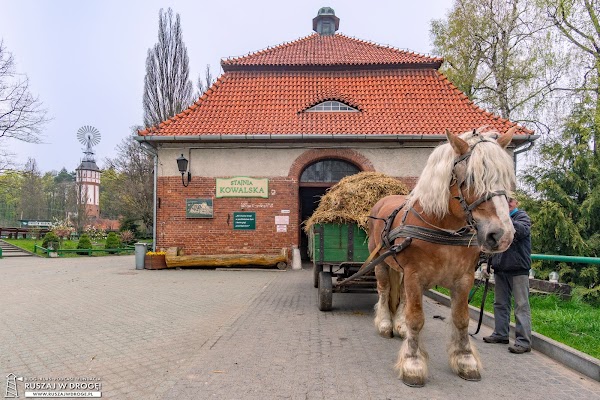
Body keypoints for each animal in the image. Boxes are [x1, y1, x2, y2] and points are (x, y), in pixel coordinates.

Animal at [368, 126, 516, 386]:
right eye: (472, 178)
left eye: (507, 179)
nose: (502, 236)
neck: (443, 227)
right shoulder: (415, 276)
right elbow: (416, 318)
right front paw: (413, 363)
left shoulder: (463, 279)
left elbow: (461, 319)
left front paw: (465, 359)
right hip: (382, 265)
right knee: (384, 291)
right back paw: (386, 323)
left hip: (400, 270)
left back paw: (399, 325)